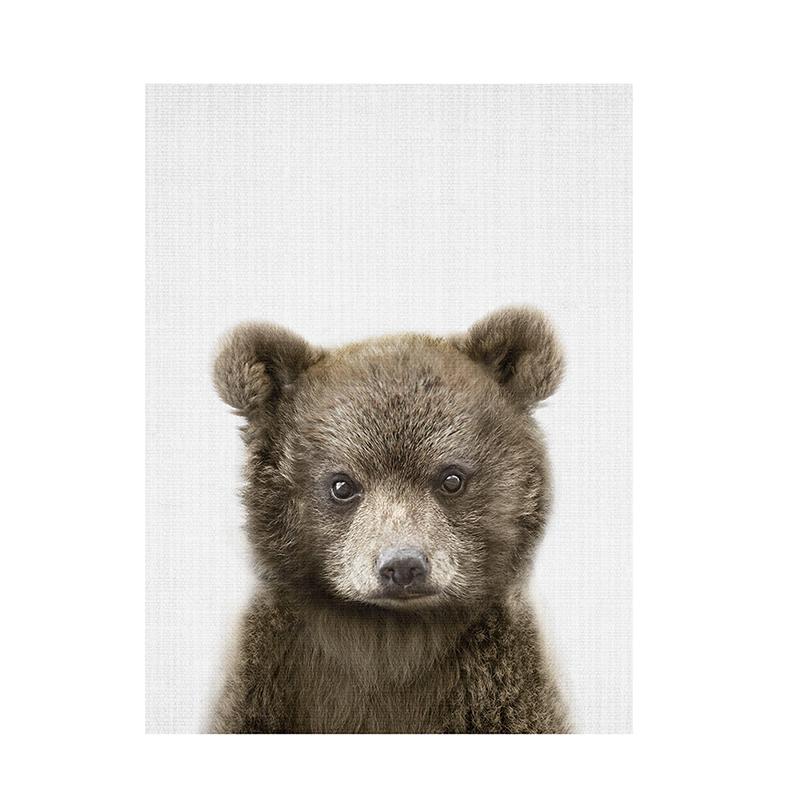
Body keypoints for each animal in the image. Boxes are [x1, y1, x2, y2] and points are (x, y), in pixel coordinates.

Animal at [210, 306, 571, 733]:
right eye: (342, 484)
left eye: (451, 478)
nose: (402, 566)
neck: (389, 637)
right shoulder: (268, 683)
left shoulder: (498, 689)